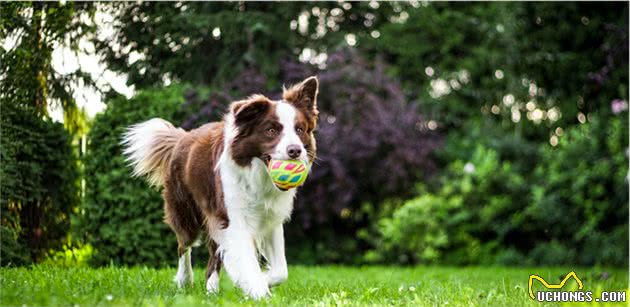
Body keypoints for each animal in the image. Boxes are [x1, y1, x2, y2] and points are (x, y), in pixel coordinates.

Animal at [122, 77, 320, 300]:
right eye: (271, 131)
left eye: (299, 130)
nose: (295, 151)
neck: (258, 176)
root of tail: (182, 137)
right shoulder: (233, 219)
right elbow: (247, 261)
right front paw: (258, 291)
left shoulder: (270, 219)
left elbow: (281, 271)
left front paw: (258, 282)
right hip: (186, 212)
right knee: (184, 245)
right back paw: (184, 280)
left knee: (213, 256)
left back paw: (211, 291)